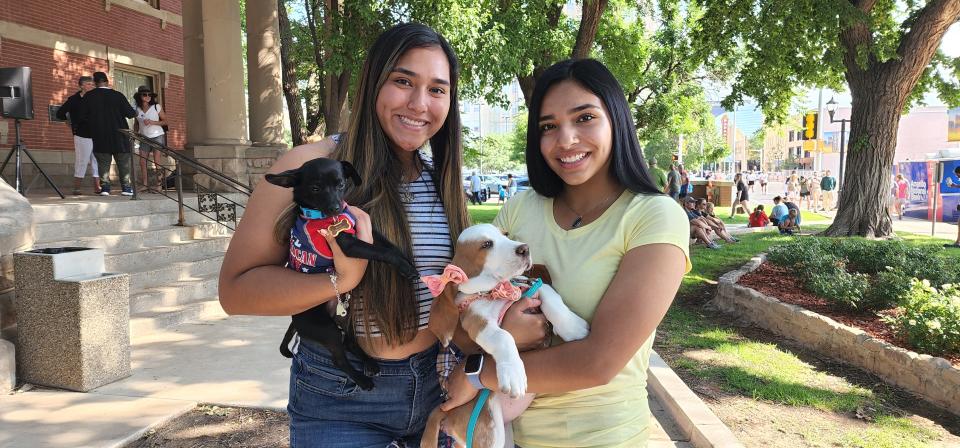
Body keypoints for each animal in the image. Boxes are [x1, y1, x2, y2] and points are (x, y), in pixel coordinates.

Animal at [270, 158, 420, 388]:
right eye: (315, 188)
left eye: (340, 184)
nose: (335, 207)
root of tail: (295, 320)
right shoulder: (348, 244)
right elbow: (382, 252)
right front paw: (405, 268)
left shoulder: (368, 232)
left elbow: (389, 246)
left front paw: (407, 261)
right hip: (326, 328)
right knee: (339, 359)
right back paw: (362, 380)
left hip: (345, 319)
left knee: (349, 343)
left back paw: (369, 363)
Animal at [422, 224, 588, 448]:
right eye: (486, 244)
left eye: (506, 235)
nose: (525, 249)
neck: (495, 291)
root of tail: (445, 412)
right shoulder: (478, 324)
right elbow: (504, 337)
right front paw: (513, 373)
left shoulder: (530, 286)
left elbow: (550, 294)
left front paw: (573, 327)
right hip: (490, 431)